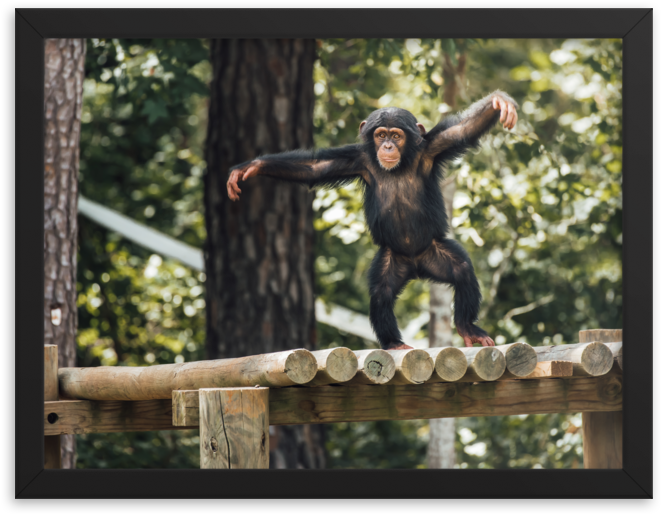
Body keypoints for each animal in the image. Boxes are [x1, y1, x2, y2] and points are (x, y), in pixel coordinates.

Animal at [227, 91, 516, 348]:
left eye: (396, 135)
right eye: (380, 135)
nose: (387, 145)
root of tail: (417, 267)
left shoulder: (433, 147)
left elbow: (463, 130)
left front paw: (499, 102)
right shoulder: (357, 160)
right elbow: (312, 168)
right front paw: (252, 166)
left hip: (436, 253)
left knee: (462, 270)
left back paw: (467, 327)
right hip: (390, 261)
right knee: (380, 294)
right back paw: (393, 342)